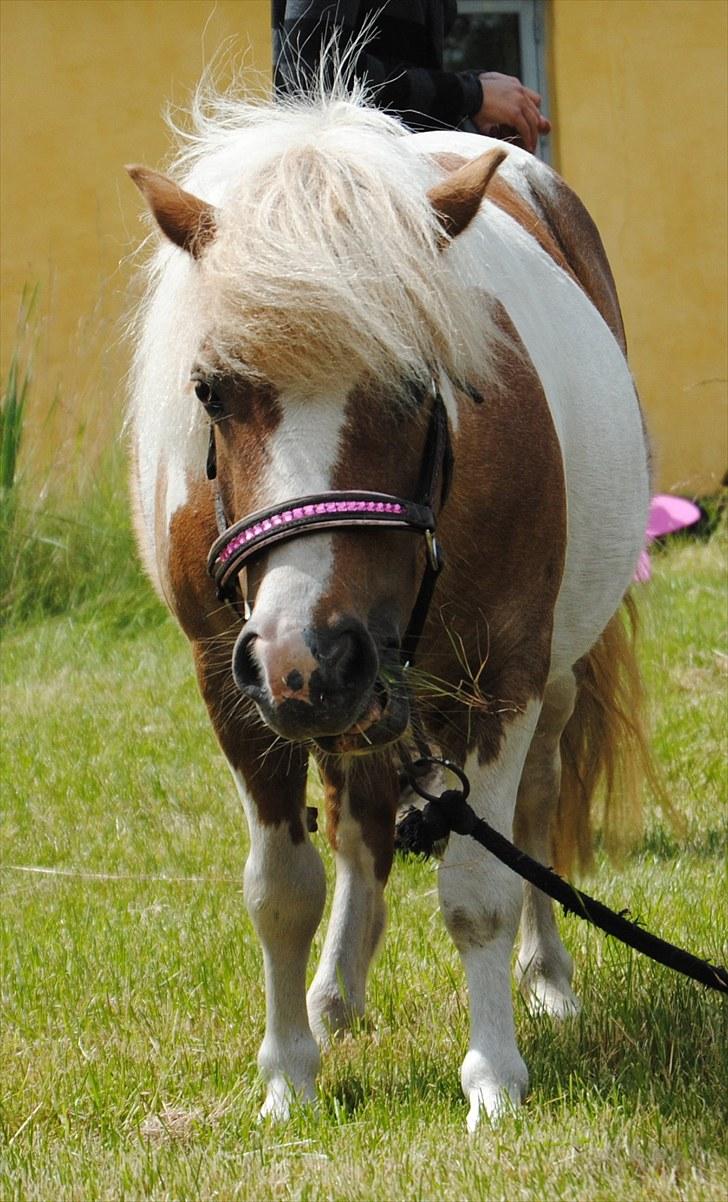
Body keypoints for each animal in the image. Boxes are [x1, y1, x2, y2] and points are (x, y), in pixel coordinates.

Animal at [126, 87, 658, 1125]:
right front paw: (289, 1072)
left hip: (536, 681)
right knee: (361, 820)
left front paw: (493, 1076)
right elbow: (282, 887)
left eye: (420, 383)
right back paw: (335, 994)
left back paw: (547, 977)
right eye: (210, 389)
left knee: (534, 810)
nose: (307, 658)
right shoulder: (232, 686)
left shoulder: (505, 678)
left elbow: (480, 887)